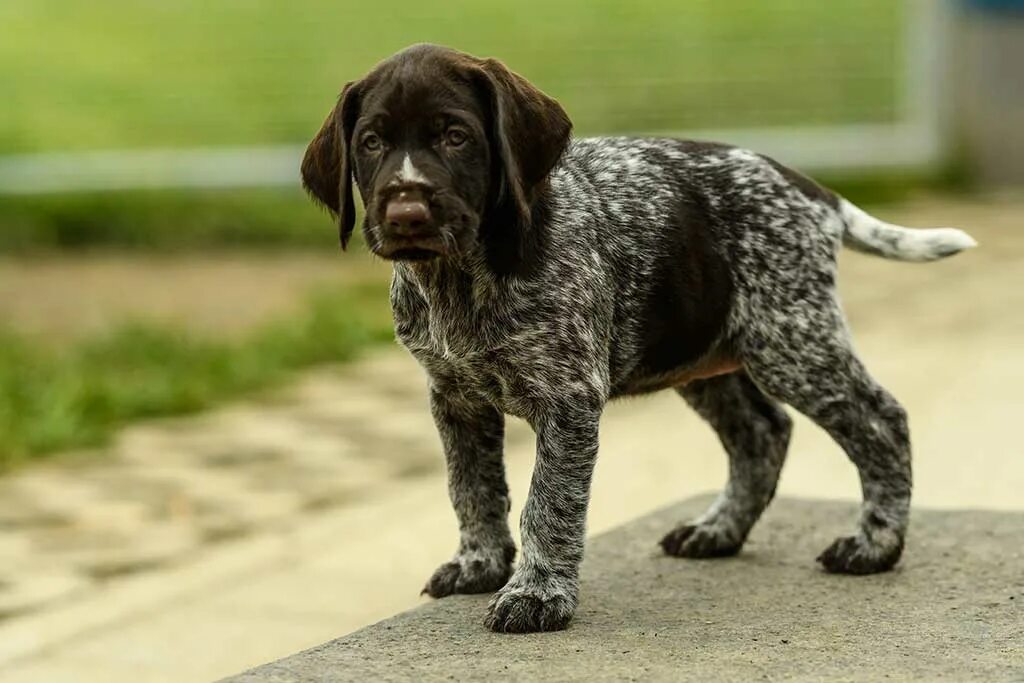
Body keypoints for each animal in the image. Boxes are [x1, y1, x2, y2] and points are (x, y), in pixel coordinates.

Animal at [299, 44, 974, 634]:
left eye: (455, 137)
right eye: (371, 142)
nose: (406, 214)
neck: (461, 278)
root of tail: (812, 190)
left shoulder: (568, 400)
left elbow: (548, 503)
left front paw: (536, 595)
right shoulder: (454, 398)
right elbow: (472, 488)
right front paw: (480, 565)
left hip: (791, 342)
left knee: (880, 420)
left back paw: (875, 543)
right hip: (704, 352)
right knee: (762, 433)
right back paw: (719, 531)